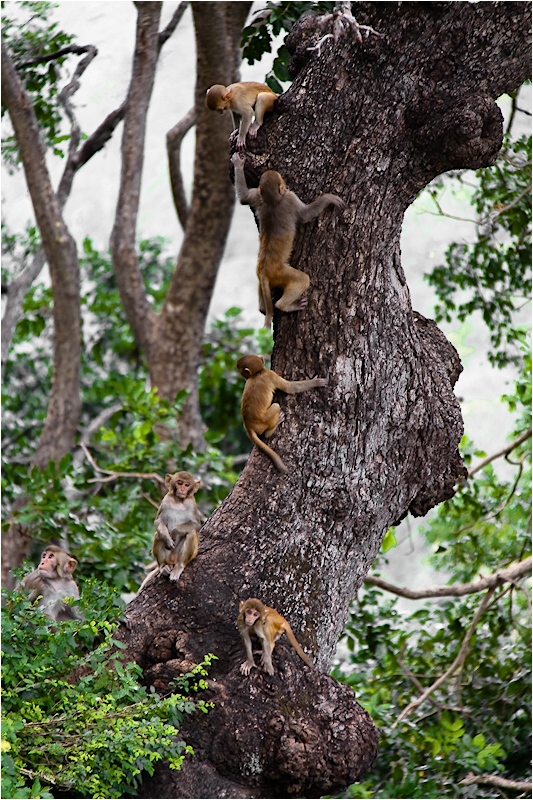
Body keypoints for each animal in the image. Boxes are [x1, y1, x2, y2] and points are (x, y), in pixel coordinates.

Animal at [233, 153, 344, 328]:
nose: (285, 183)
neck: (272, 201)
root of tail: (265, 271)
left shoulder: (257, 196)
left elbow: (244, 198)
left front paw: (238, 164)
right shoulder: (290, 199)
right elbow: (305, 215)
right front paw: (328, 199)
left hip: (260, 274)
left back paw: (263, 308)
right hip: (281, 273)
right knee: (303, 280)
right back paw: (285, 306)